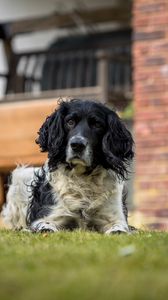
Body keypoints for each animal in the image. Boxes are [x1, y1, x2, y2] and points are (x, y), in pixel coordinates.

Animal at [1, 99, 134, 233]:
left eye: (97, 124)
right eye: (70, 122)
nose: (77, 144)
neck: (82, 177)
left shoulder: (114, 217)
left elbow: (118, 229)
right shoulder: (49, 216)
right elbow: (46, 227)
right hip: (20, 177)